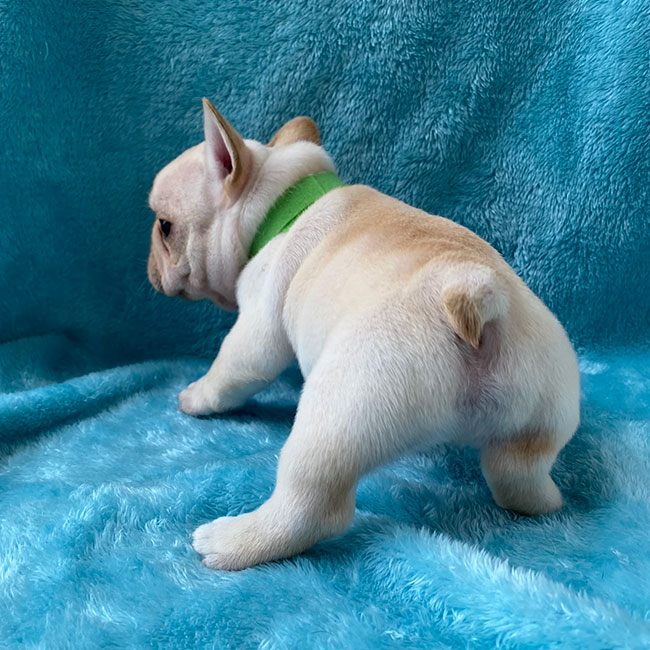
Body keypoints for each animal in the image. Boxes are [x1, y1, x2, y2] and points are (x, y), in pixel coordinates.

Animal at [147, 98, 580, 570]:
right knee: (518, 475)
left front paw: (196, 396)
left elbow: (231, 368)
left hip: (346, 402)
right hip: (544, 412)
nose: (149, 266)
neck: (281, 204)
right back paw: (545, 500)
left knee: (313, 506)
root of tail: (474, 294)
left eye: (165, 226)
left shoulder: (258, 322)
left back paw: (233, 540)